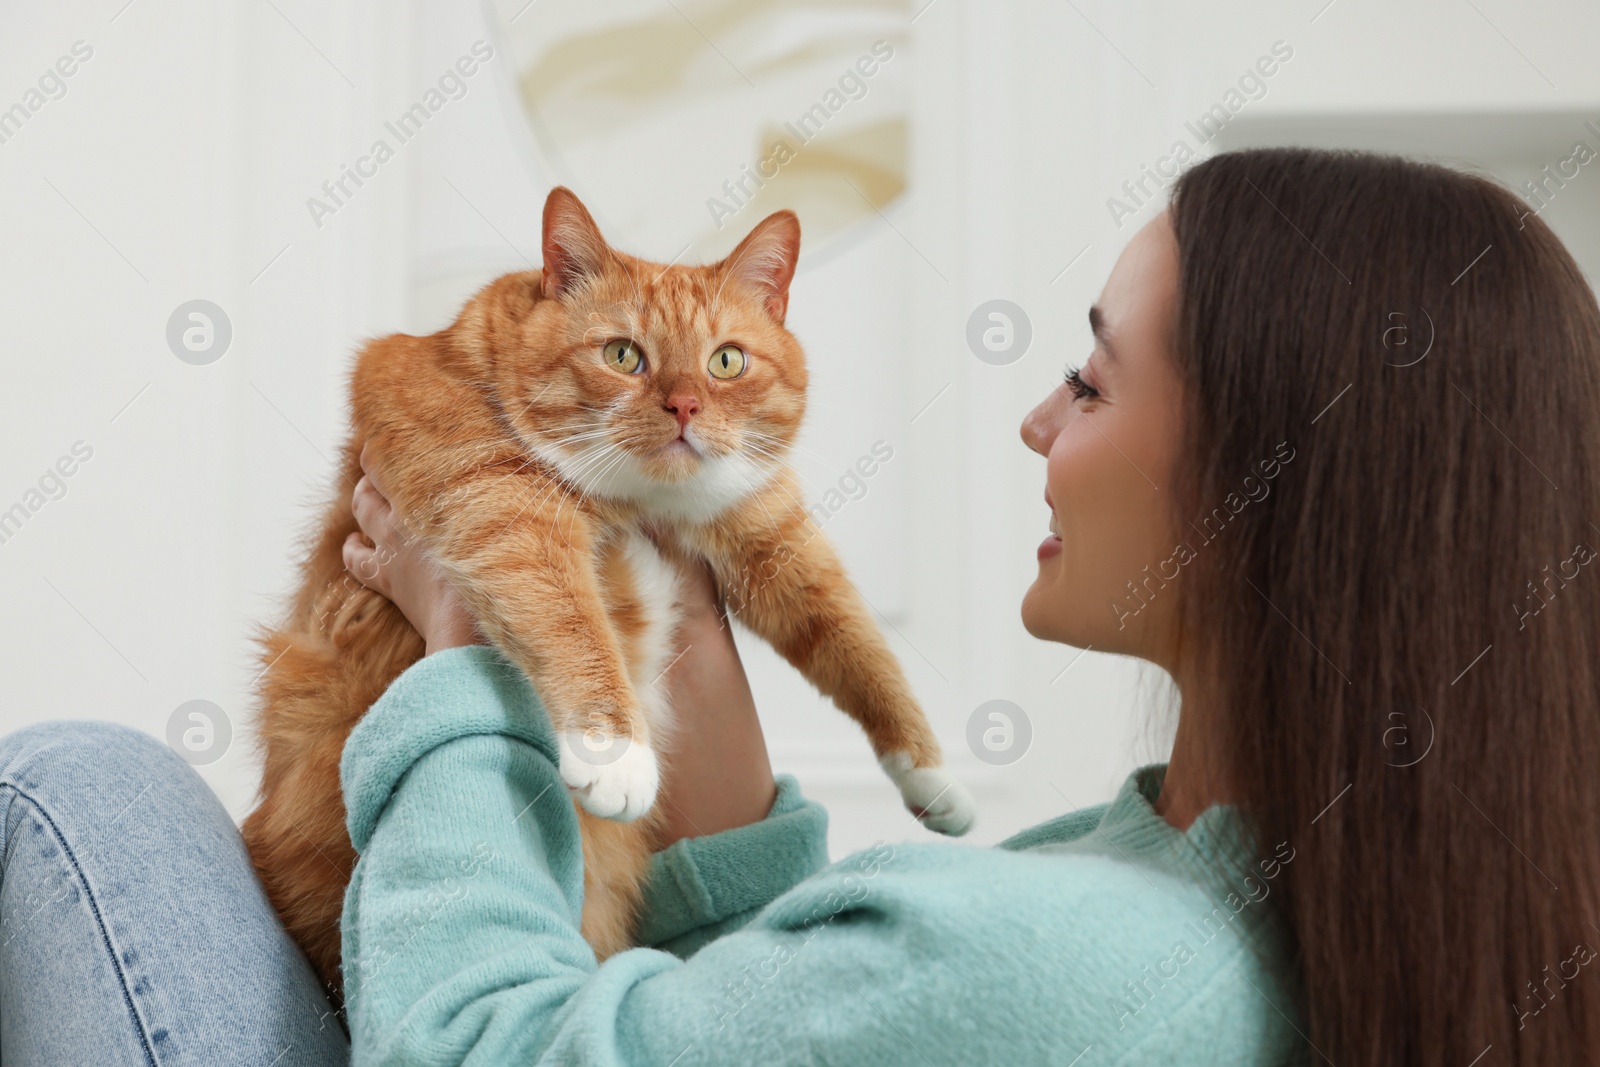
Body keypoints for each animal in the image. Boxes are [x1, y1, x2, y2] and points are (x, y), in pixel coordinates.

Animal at [243, 185, 972, 991]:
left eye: (726, 361)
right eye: (624, 355)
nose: (685, 406)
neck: (642, 504)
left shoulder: (774, 536)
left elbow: (857, 640)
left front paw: (929, 771)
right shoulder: (505, 512)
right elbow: (571, 621)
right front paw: (613, 751)